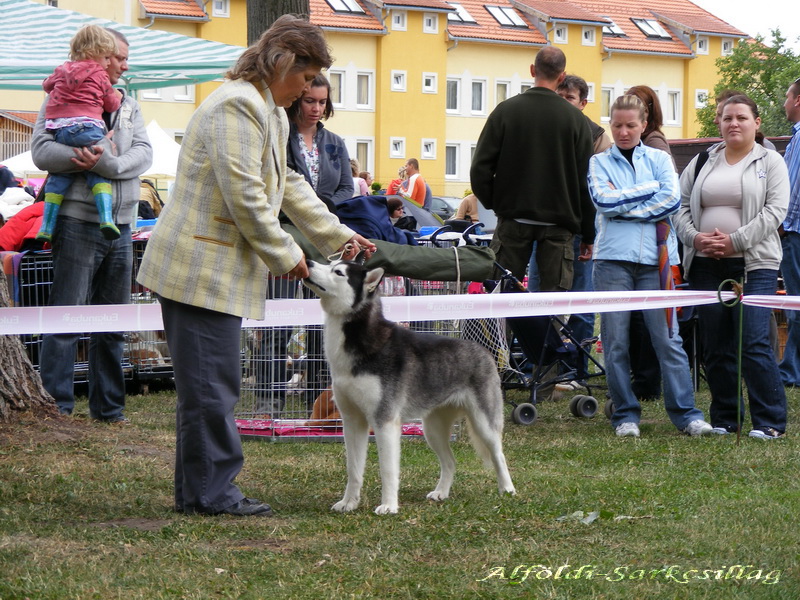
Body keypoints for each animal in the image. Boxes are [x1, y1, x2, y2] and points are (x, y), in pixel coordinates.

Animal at [304, 255, 516, 512]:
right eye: (330, 263)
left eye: (338, 272)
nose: (308, 262)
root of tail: (484, 351)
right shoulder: (352, 421)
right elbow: (353, 469)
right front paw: (349, 503)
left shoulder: (384, 421)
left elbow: (387, 470)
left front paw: (389, 506)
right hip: (432, 429)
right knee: (450, 461)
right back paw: (441, 492)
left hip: (483, 422)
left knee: (499, 455)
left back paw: (507, 490)